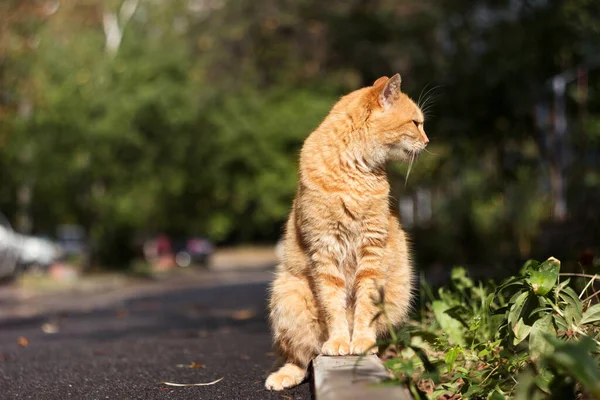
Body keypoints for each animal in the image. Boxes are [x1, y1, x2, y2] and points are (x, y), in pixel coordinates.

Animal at [266, 73, 426, 390]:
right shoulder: (325, 249)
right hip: (287, 296)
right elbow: (333, 305)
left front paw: (360, 341)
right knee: (302, 357)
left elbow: (364, 304)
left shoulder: (371, 249)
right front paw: (340, 341)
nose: (428, 141)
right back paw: (285, 375)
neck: (354, 170)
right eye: (416, 123)